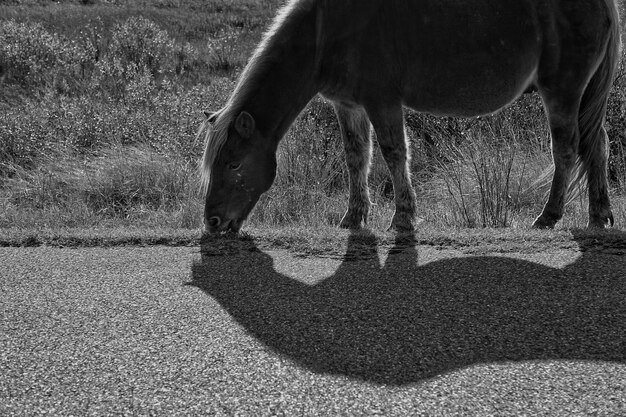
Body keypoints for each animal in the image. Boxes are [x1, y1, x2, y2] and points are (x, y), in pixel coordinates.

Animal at [197, 0, 616, 234]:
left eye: (233, 164)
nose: (212, 222)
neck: (325, 32)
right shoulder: (348, 106)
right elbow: (357, 159)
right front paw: (353, 217)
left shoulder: (382, 102)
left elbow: (394, 154)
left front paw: (402, 217)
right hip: (582, 96)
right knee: (597, 146)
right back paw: (599, 215)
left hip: (562, 92)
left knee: (566, 150)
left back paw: (549, 216)